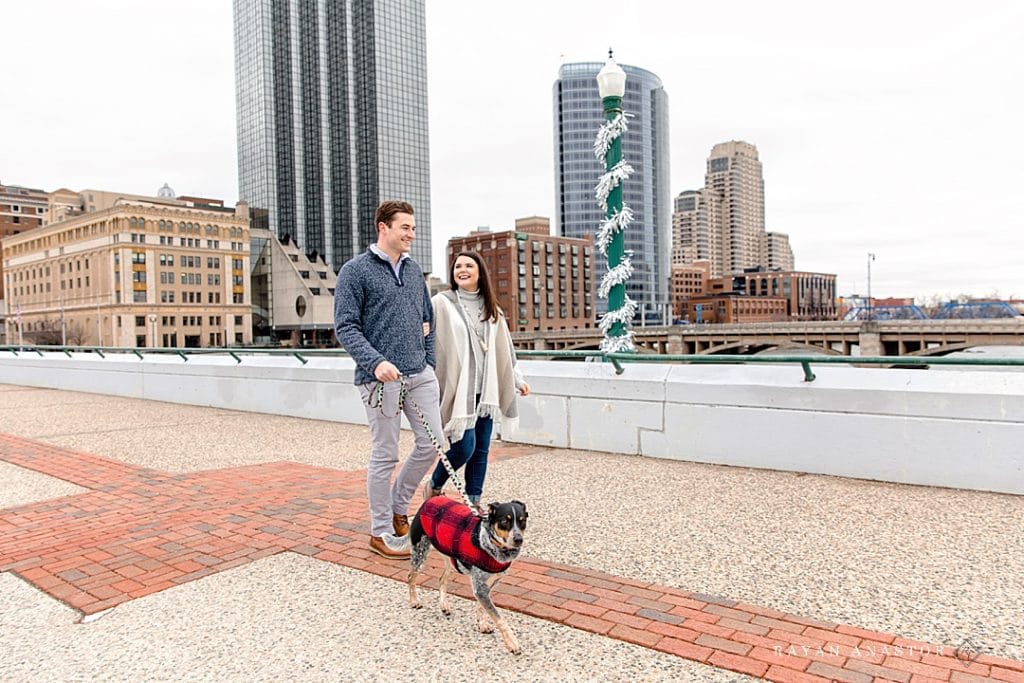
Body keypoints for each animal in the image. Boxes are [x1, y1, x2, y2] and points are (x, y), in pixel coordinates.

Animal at [403, 499, 528, 655]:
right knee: (411, 577)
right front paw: (512, 643)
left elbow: (481, 607)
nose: (518, 539)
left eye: (522, 521)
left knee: (442, 579)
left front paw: (482, 624)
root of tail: (430, 500)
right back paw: (414, 601)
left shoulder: (487, 585)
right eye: (504, 521)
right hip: (420, 552)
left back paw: (444, 605)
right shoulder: (480, 587)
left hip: (449, 558)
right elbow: (499, 619)